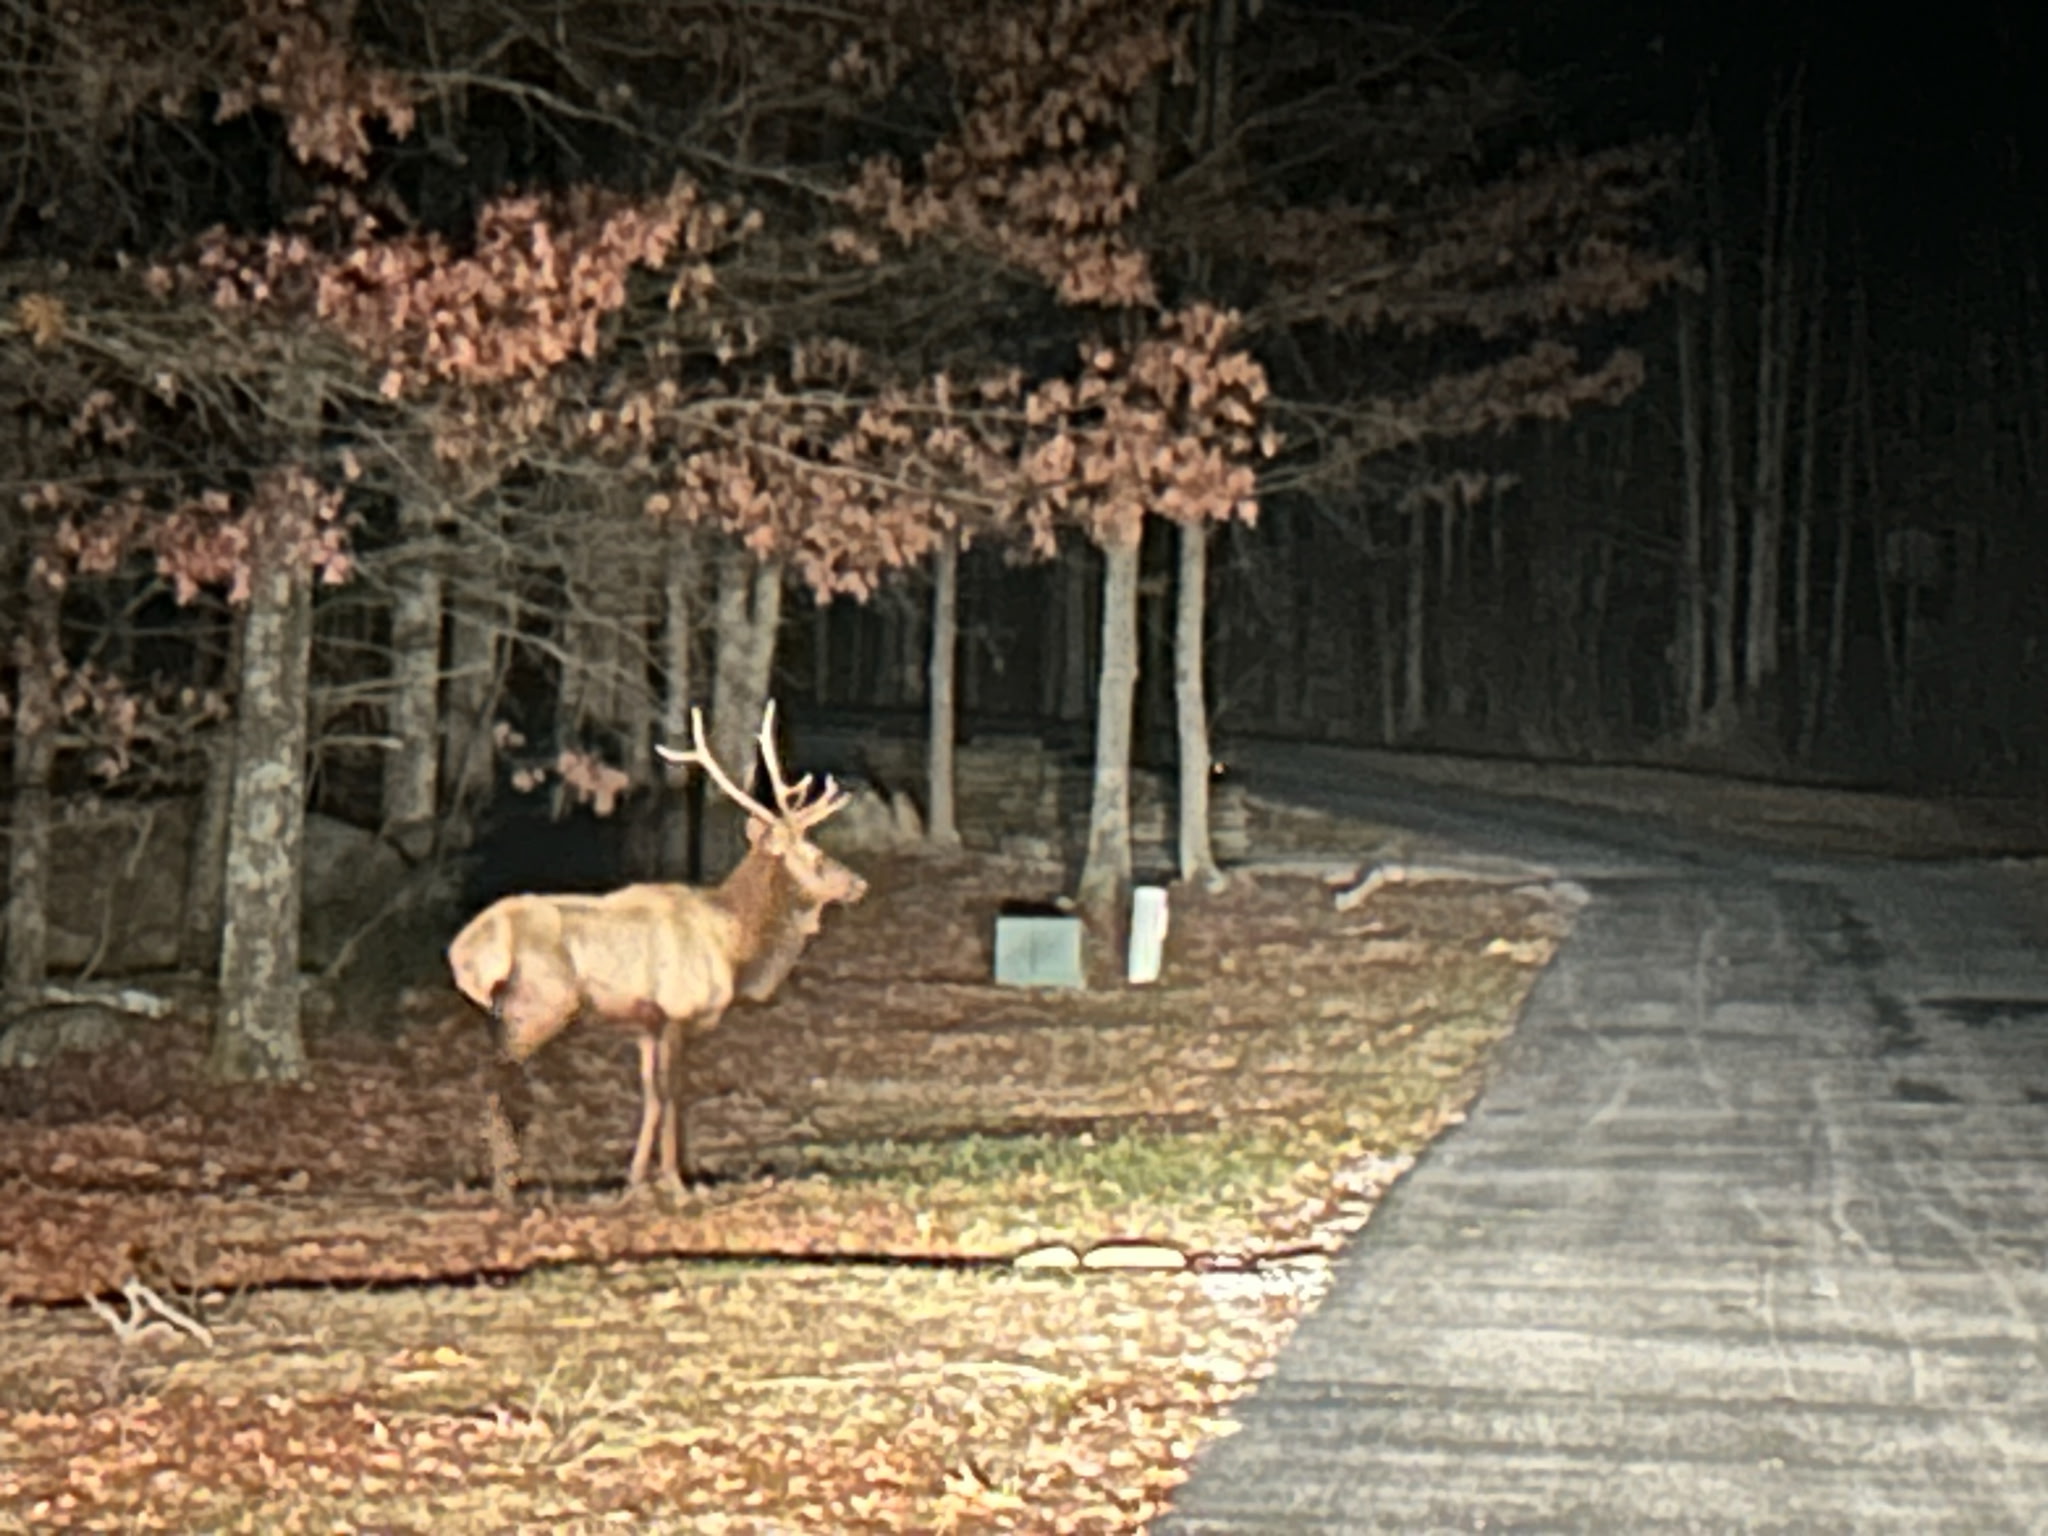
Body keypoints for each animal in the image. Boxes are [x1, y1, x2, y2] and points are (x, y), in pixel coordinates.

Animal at [446, 701, 868, 1201]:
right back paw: (504, 1183)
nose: (859, 883)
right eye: (817, 856)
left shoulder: (645, 1024)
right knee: (496, 1076)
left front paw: (635, 1179)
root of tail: (464, 953)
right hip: (539, 1003)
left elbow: (649, 1096)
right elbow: (673, 1093)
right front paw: (676, 1180)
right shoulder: (678, 1010)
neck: (734, 947)